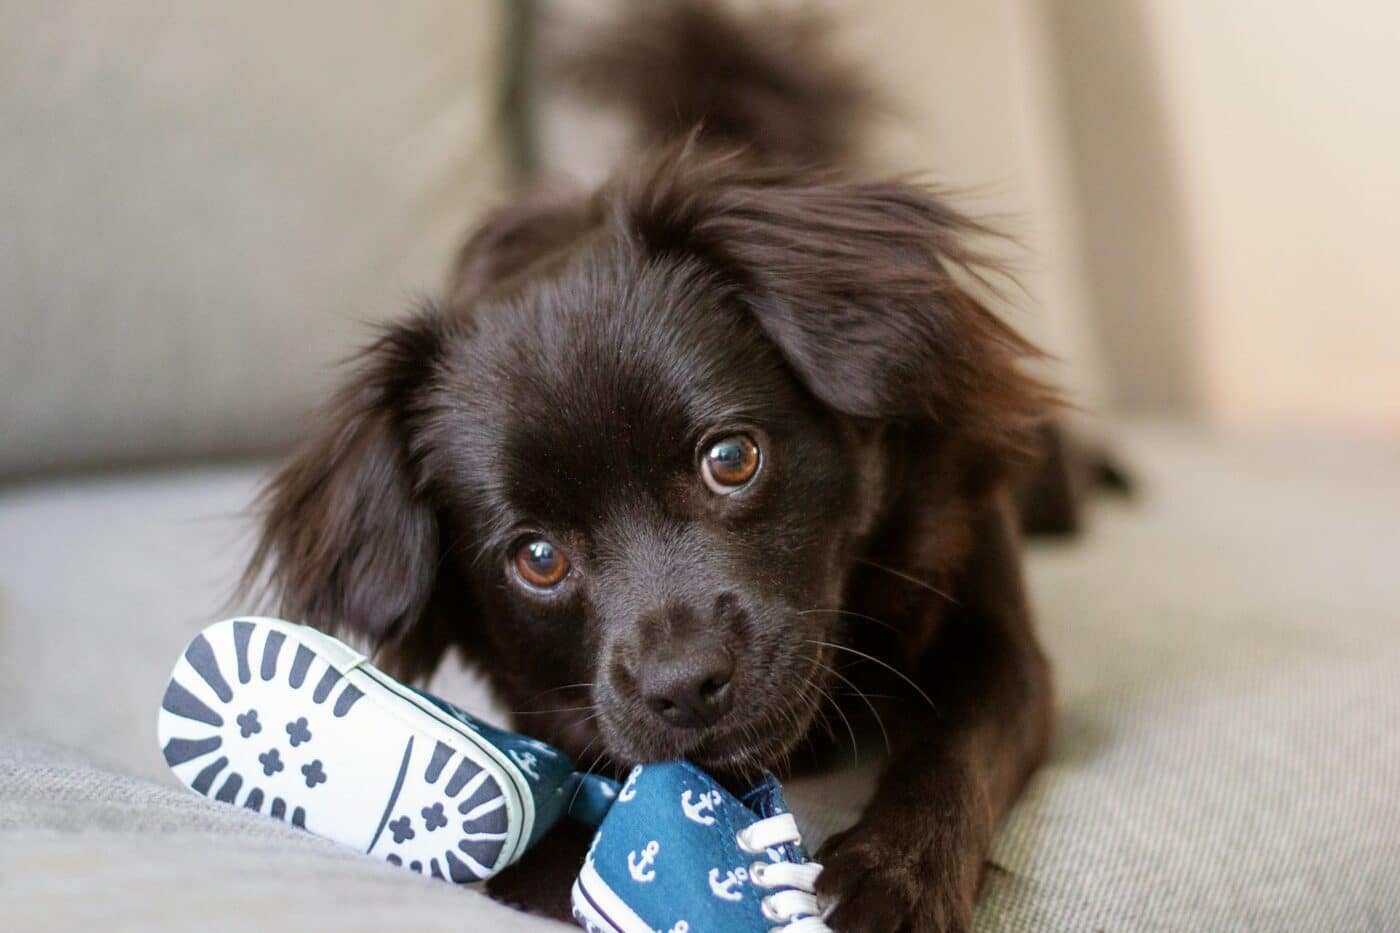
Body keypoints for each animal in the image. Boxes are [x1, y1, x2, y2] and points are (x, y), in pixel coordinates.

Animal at [249, 3, 1058, 924]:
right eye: (536, 557)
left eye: (732, 458)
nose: (684, 683)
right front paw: (541, 869)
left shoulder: (996, 631)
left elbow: (957, 744)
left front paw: (897, 873)